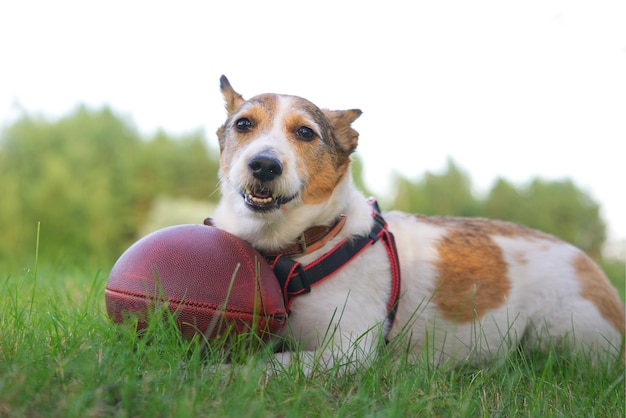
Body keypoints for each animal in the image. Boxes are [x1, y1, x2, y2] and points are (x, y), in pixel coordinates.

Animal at [212, 76, 620, 376]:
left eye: (306, 133)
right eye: (243, 124)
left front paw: (216, 371)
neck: (305, 243)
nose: (264, 164)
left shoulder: (347, 349)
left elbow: (271, 363)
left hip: (562, 328)